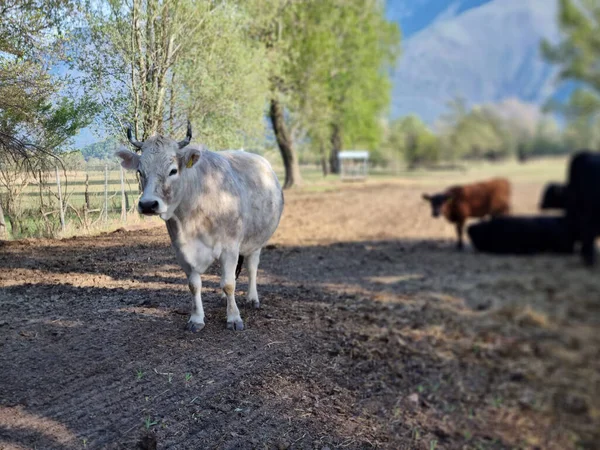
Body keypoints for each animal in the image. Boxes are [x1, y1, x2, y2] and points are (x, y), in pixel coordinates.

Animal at [119, 123, 286, 330]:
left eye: (173, 171)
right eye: (140, 171)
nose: (148, 204)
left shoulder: (230, 247)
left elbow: (229, 284)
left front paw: (234, 317)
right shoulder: (181, 250)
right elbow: (195, 285)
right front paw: (197, 318)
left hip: (256, 240)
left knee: (251, 267)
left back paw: (252, 298)